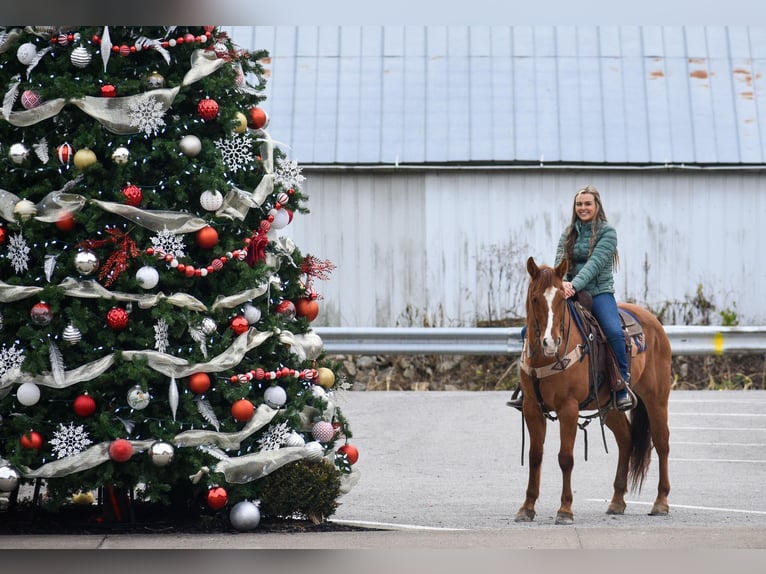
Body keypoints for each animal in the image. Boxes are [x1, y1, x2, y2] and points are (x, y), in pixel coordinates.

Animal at [516, 260, 672, 528]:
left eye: (561, 299)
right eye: (535, 298)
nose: (550, 342)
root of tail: (654, 322)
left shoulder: (568, 408)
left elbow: (565, 457)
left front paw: (565, 510)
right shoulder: (531, 407)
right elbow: (535, 456)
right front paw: (527, 507)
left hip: (657, 399)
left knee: (661, 442)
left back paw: (661, 502)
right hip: (610, 406)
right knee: (626, 439)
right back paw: (617, 501)